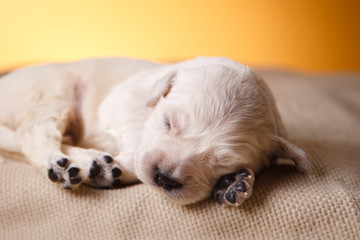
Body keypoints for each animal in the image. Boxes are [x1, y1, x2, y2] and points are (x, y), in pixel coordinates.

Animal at [0, 56, 310, 206]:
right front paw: (116, 169)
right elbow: (137, 140)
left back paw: (90, 162)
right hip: (50, 92)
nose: (164, 177)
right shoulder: (124, 98)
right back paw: (69, 164)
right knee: (36, 136)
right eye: (167, 122)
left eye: (222, 163)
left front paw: (236, 183)